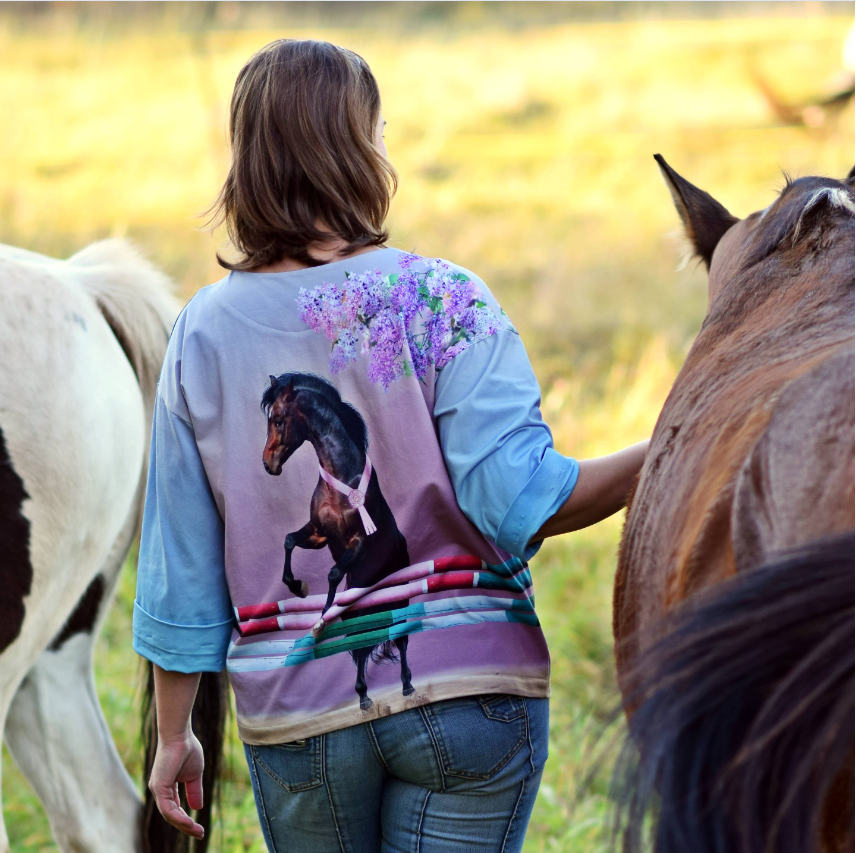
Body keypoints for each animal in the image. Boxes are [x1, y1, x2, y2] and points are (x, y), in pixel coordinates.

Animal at [262, 370, 412, 708]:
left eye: (277, 420)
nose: (268, 464)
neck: (343, 479)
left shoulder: (358, 544)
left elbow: (332, 574)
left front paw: (320, 620)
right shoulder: (319, 533)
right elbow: (289, 541)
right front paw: (298, 586)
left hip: (398, 599)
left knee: (400, 638)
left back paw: (407, 685)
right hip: (362, 602)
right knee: (362, 641)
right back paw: (363, 695)